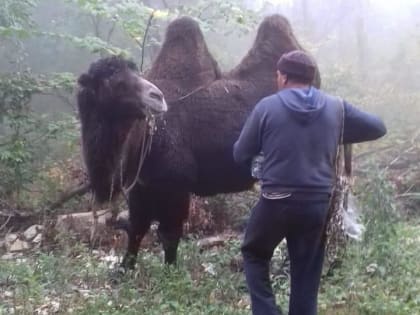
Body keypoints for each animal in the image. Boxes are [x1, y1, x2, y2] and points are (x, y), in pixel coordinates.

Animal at [77, 12, 320, 270]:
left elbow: (169, 235)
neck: (144, 137)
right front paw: (124, 269)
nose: (157, 97)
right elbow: (136, 229)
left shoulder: (176, 185)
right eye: (115, 82)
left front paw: (170, 272)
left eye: (134, 75)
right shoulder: (142, 186)